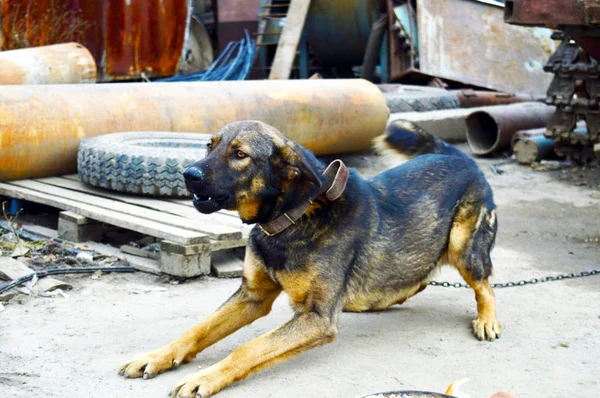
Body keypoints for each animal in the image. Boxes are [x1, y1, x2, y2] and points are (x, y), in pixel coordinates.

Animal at [118, 119, 502, 398]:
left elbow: (248, 349)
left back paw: (487, 320)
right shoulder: (252, 296)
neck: (293, 215)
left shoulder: (316, 319)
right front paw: (157, 356)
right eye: (209, 146)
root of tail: (461, 157)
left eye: (240, 154)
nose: (188, 175)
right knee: (415, 278)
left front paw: (206, 377)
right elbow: (197, 330)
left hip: (463, 247)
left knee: (484, 285)